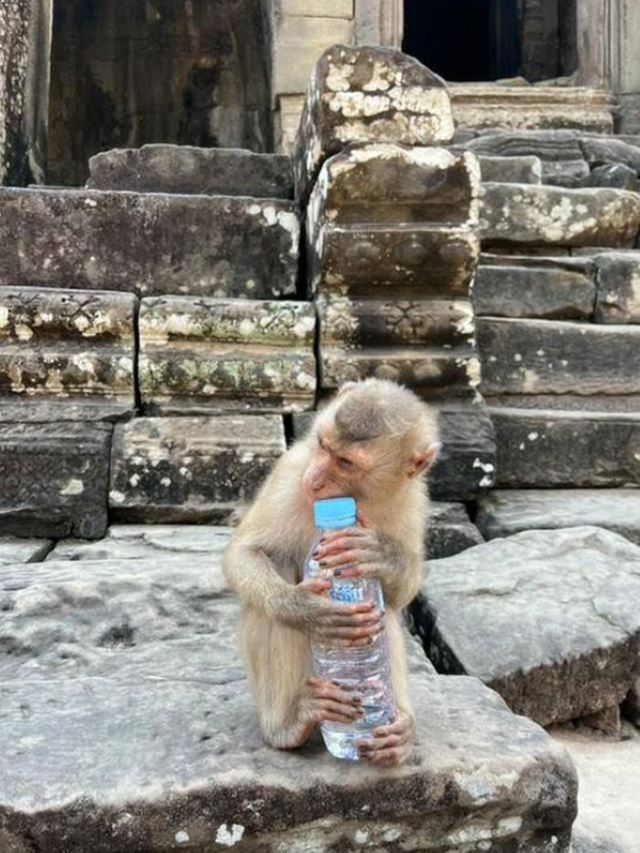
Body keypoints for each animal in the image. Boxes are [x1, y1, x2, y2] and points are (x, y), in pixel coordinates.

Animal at [222, 378, 440, 766]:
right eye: (324, 446)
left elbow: (401, 593)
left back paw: (396, 729)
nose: (316, 479)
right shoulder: (292, 472)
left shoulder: (413, 496)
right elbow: (244, 553)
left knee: (386, 613)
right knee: (273, 579)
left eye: (346, 462)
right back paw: (290, 724)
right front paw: (305, 610)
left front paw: (380, 553)